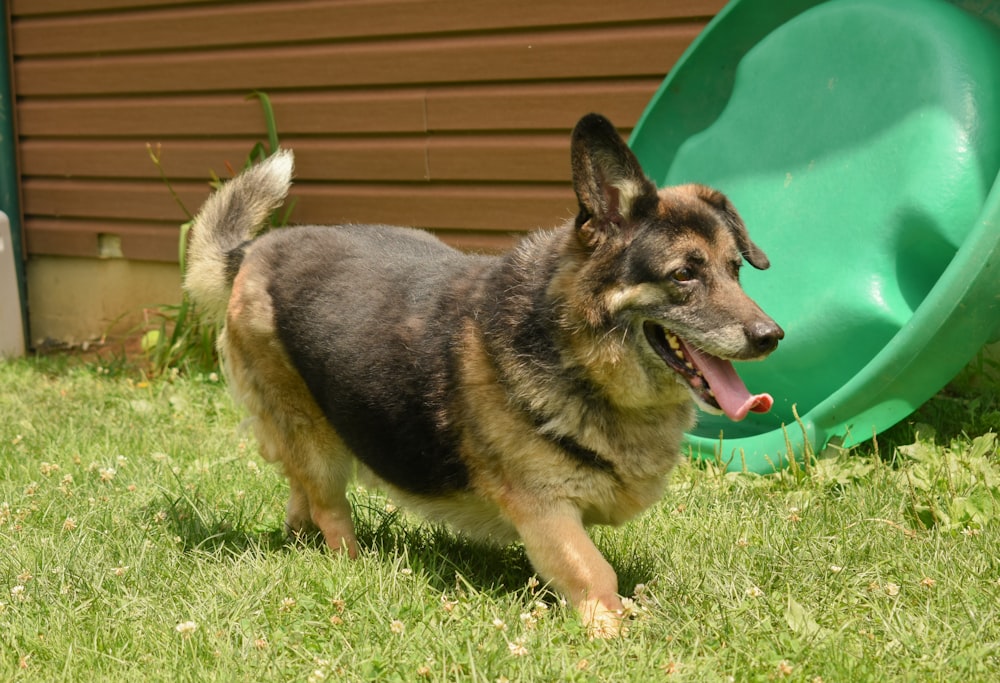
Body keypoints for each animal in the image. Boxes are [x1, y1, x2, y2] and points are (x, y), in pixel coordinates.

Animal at [186, 112, 780, 636]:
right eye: (683, 275)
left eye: (735, 270)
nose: (771, 336)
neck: (575, 353)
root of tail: (252, 250)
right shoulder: (544, 509)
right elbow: (594, 572)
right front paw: (613, 630)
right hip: (316, 439)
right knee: (329, 508)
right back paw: (349, 566)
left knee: (300, 493)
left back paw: (297, 538)